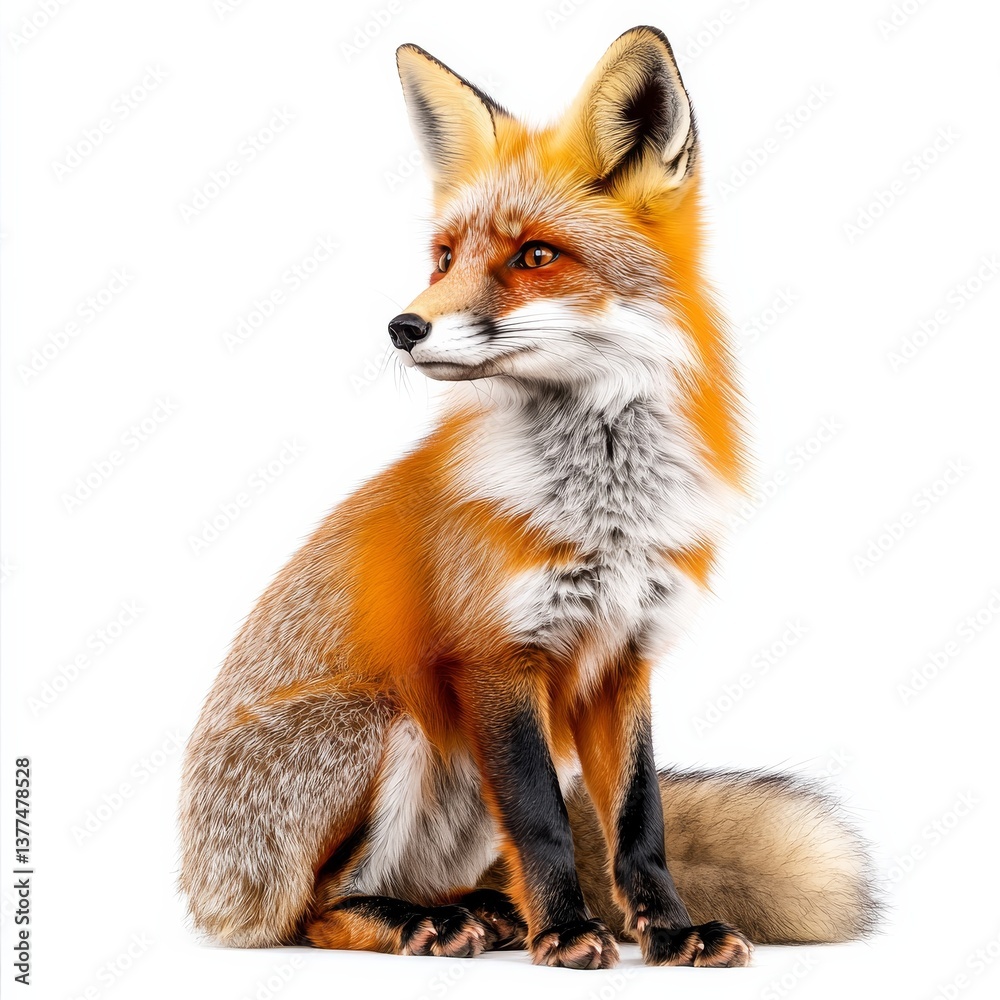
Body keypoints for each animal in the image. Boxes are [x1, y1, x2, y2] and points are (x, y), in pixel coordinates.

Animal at [179, 26, 877, 969]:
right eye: (443, 258)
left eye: (534, 256)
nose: (403, 327)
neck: (607, 512)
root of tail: (202, 887)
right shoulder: (496, 660)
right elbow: (545, 820)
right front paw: (572, 931)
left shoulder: (624, 659)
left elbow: (639, 823)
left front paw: (668, 930)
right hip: (389, 723)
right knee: (316, 910)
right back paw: (424, 923)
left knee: (455, 877)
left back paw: (489, 911)